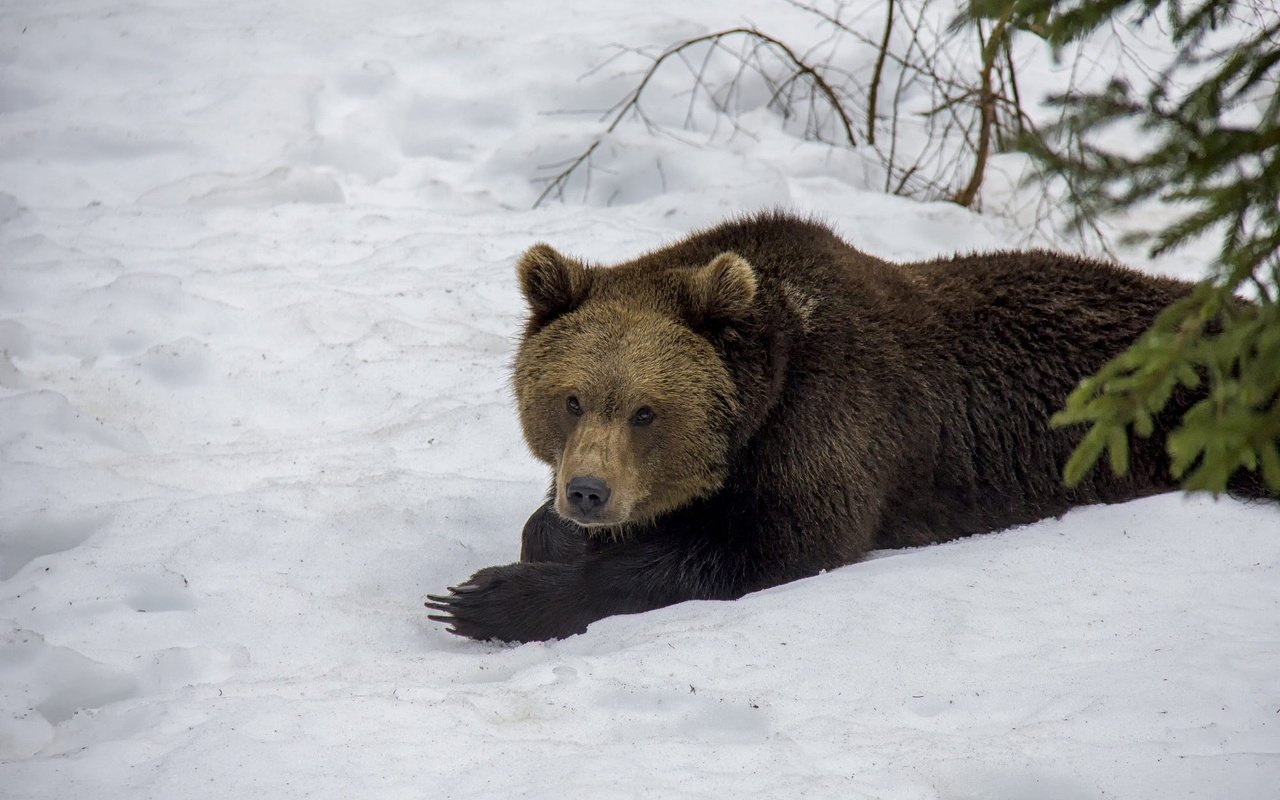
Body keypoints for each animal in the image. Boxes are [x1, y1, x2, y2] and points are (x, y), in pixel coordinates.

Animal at [427, 211, 1269, 642]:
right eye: (570, 399)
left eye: (647, 410)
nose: (589, 492)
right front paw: (549, 537)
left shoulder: (830, 425)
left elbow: (771, 543)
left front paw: (487, 598)